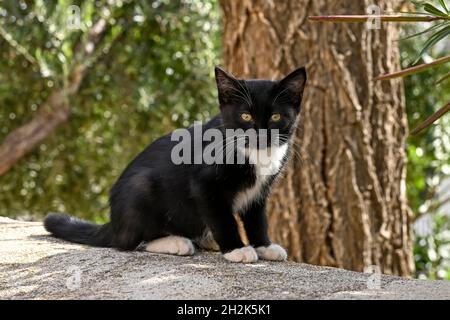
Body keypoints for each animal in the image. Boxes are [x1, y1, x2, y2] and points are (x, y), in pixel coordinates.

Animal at [44, 65, 306, 262]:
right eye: (245, 116)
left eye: (275, 117)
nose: (261, 134)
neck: (254, 154)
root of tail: (113, 222)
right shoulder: (205, 185)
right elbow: (222, 218)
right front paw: (237, 249)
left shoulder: (259, 191)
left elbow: (256, 218)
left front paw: (264, 246)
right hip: (140, 188)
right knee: (127, 242)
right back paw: (175, 242)